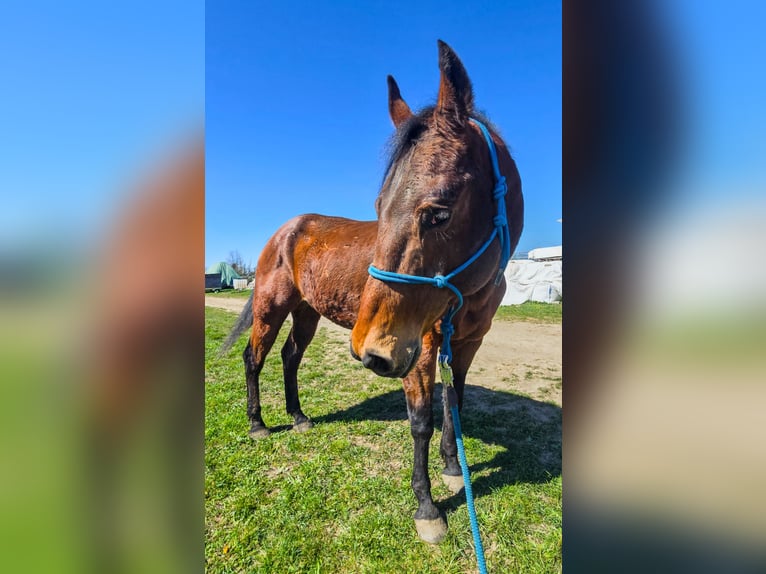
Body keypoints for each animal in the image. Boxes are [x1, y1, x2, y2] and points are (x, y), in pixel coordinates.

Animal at [220, 40, 523, 544]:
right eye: (379, 206)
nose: (371, 350)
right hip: (271, 306)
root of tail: (286, 229)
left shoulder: (464, 345)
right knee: (254, 357)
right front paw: (427, 508)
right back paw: (259, 424)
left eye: (439, 212)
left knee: (290, 357)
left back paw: (299, 418)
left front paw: (452, 468)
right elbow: (421, 422)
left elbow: (454, 404)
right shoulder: (420, 347)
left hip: (307, 312)